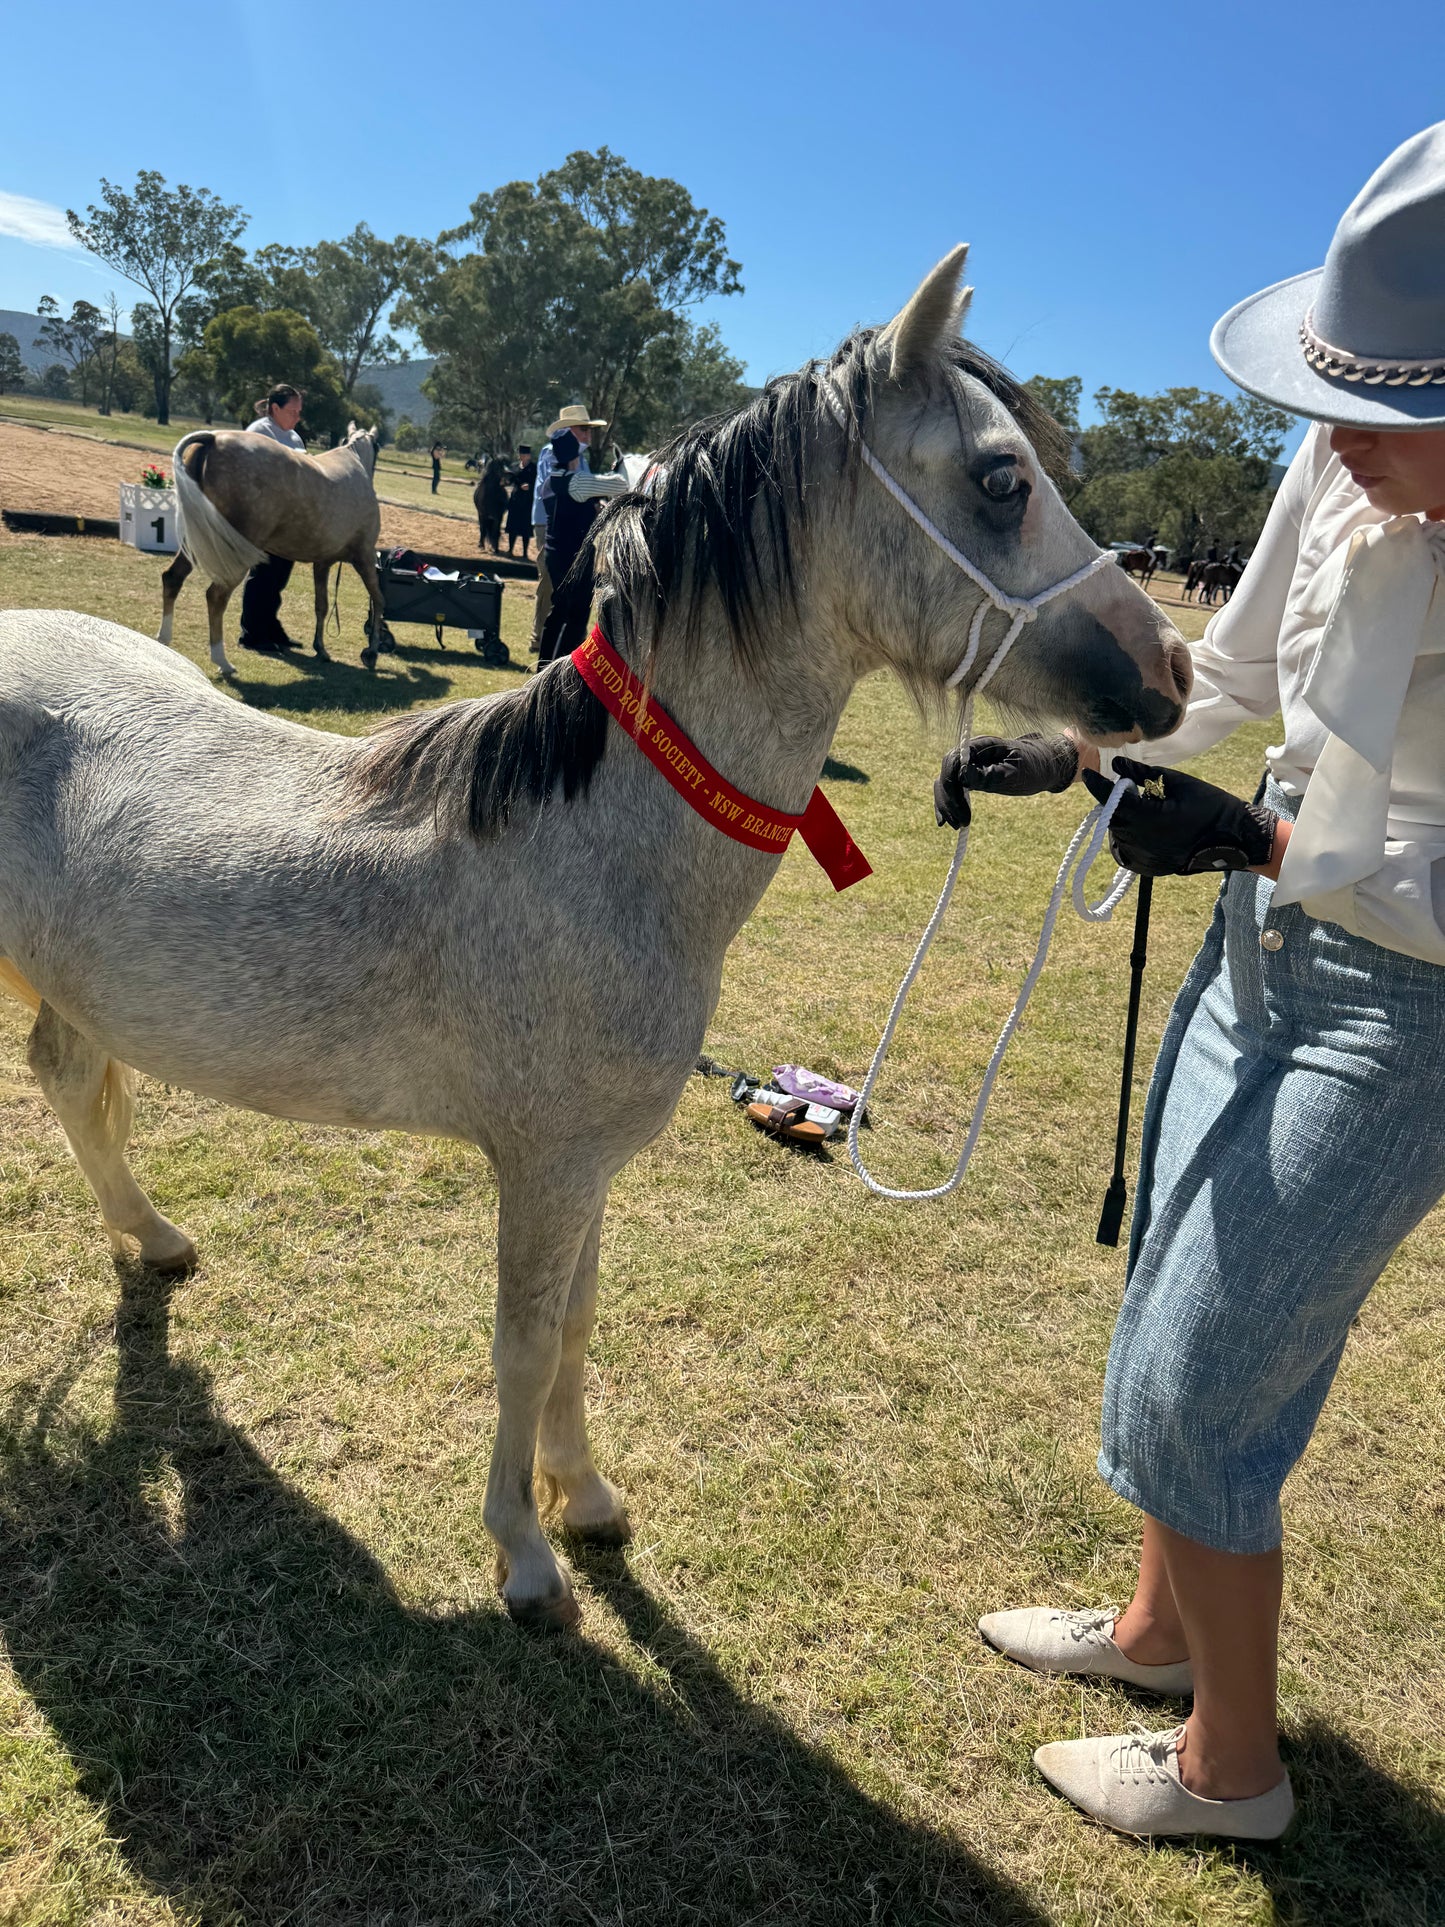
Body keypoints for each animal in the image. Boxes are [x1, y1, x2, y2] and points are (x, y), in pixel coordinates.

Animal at [159, 423, 391, 686]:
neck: (354, 463)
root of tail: (212, 439)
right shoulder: (364, 556)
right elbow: (379, 600)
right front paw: (372, 652)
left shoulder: (322, 563)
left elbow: (321, 605)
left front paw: (321, 649)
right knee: (216, 596)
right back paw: (223, 662)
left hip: (197, 539)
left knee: (173, 578)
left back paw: (164, 642)